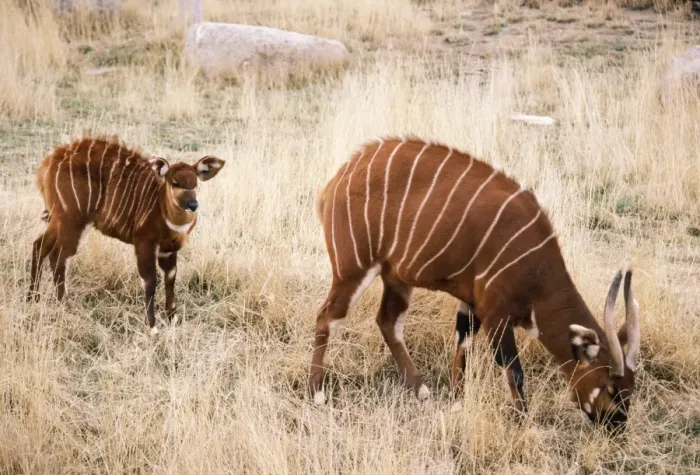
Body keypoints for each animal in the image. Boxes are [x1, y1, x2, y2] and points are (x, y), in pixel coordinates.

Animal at [28, 134, 225, 333]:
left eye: (195, 183)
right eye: (175, 183)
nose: (193, 205)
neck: (163, 209)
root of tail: (47, 164)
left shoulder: (168, 249)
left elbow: (170, 278)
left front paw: (173, 319)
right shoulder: (144, 243)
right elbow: (150, 281)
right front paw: (152, 327)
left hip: (60, 220)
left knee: (39, 245)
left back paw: (33, 297)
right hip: (73, 221)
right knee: (58, 256)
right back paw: (64, 306)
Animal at [309, 136, 641, 432]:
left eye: (631, 390)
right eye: (610, 387)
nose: (617, 426)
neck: (537, 275)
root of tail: (337, 180)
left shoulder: (470, 303)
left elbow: (463, 345)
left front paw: (457, 401)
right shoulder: (496, 312)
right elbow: (513, 368)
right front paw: (523, 421)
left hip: (396, 278)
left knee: (388, 322)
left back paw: (420, 389)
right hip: (353, 270)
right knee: (327, 318)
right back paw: (317, 393)